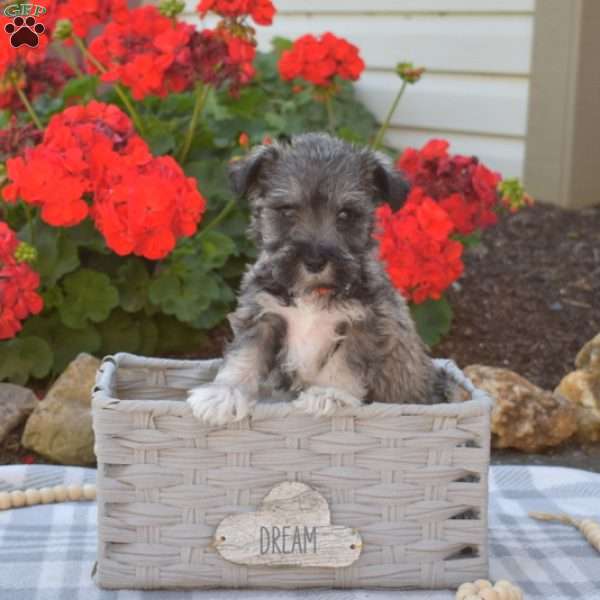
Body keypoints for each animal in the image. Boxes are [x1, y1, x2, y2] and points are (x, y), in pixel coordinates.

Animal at [190, 134, 448, 428]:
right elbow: (244, 355)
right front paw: (224, 394)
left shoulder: (366, 323)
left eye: (346, 214)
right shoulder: (261, 315)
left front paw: (329, 393)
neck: (311, 293)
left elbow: (345, 361)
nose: (314, 262)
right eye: (287, 210)